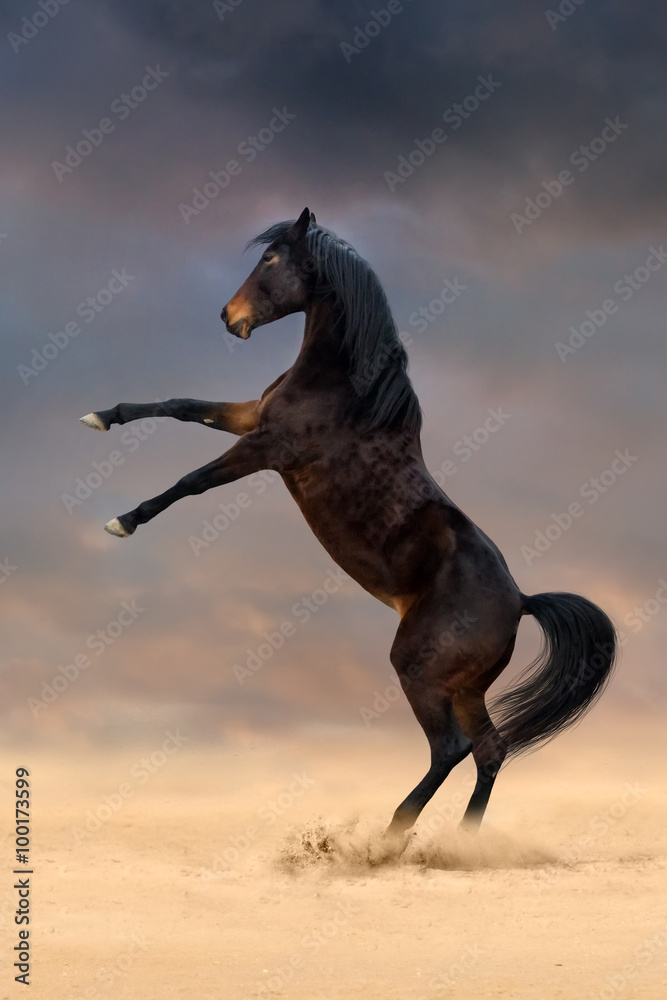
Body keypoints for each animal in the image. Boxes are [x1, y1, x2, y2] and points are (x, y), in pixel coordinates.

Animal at [79, 206, 617, 838]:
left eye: (272, 259)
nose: (229, 318)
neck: (345, 389)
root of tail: (522, 601)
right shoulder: (251, 419)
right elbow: (182, 405)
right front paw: (102, 417)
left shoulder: (267, 448)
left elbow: (193, 481)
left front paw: (124, 521)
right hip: (464, 687)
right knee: (489, 751)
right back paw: (459, 843)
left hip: (419, 672)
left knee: (451, 749)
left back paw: (391, 837)